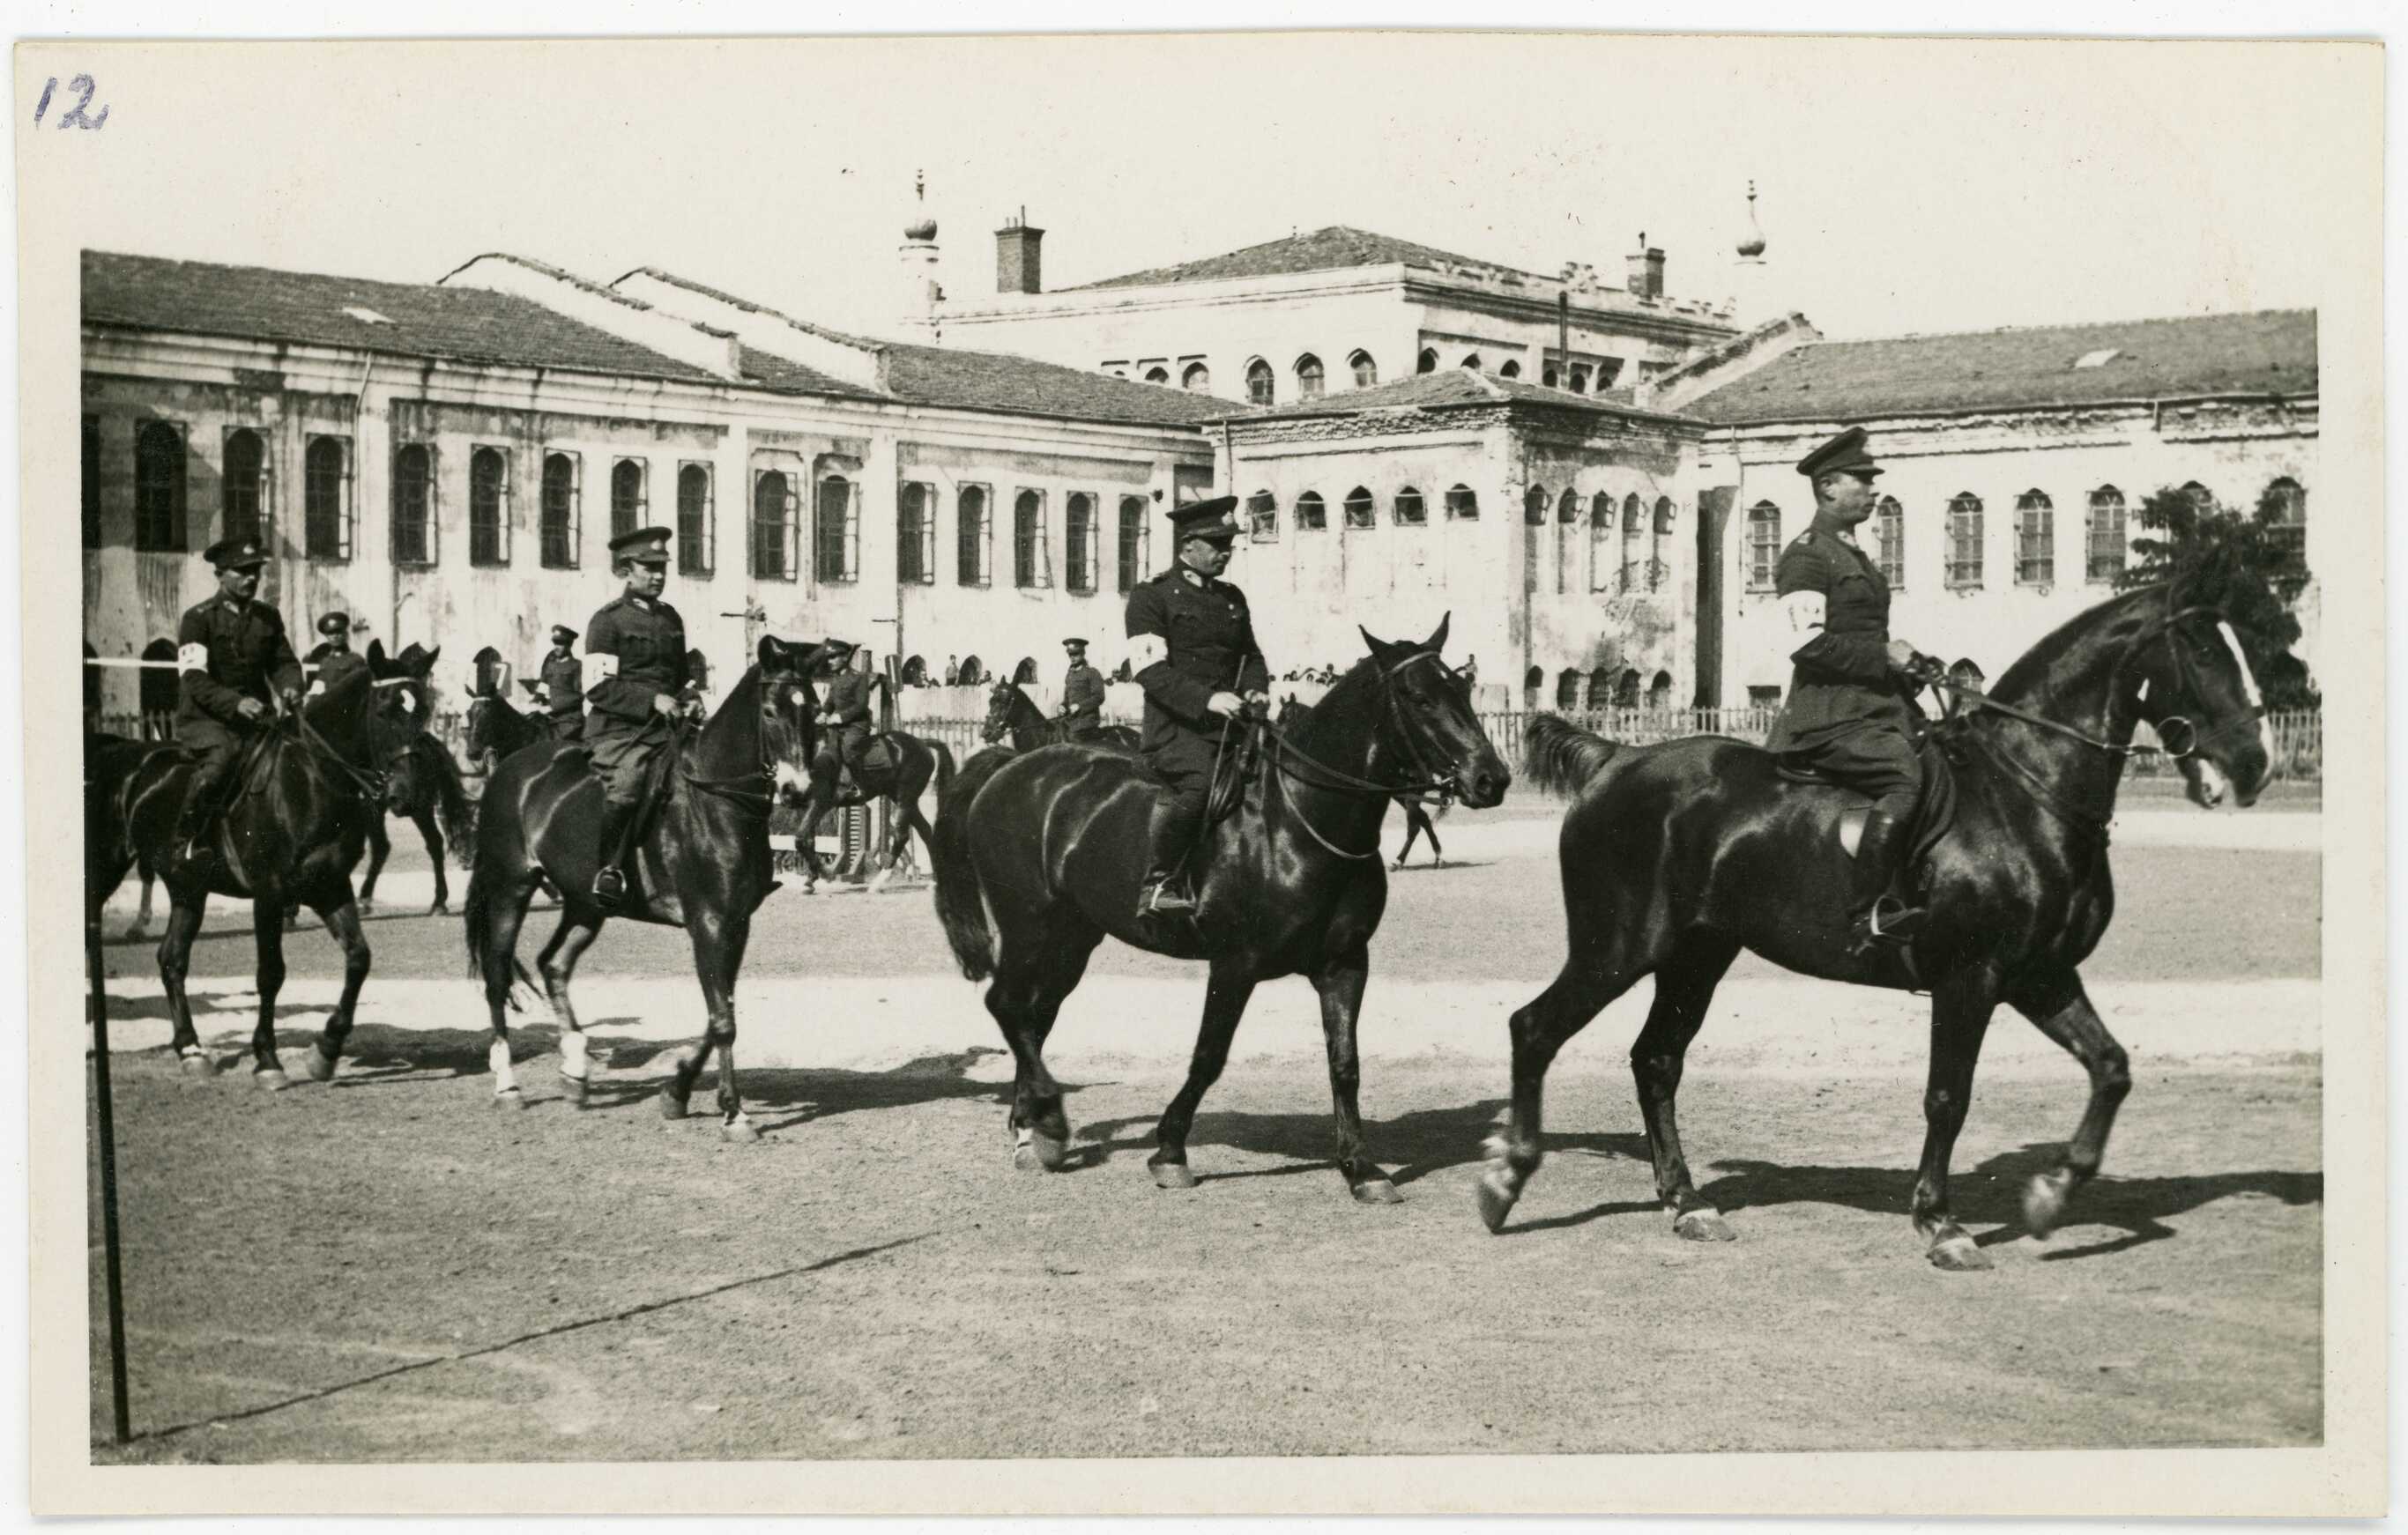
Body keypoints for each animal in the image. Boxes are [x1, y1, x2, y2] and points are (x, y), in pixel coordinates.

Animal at [85, 662, 383, 1086]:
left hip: (187, 889)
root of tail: (114, 749)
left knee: (171, 959)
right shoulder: (269, 895)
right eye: (387, 709)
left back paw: (191, 1050)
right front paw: (268, 1060)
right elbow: (270, 974)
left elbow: (358, 959)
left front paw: (325, 1052)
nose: (402, 789)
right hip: (108, 870)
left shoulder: (331, 888)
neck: (307, 782)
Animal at [462, 636, 827, 1133]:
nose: (797, 791)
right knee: (498, 976)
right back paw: (507, 1085)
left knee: (553, 964)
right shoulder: (707, 922)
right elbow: (723, 1020)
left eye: (814, 710)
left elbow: (720, 1012)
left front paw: (677, 1091)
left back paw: (575, 1072)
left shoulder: (735, 924)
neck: (716, 800)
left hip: (586, 904)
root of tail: (509, 770)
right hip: (510, 888)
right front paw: (734, 1112)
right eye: (770, 711)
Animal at [1475, 582, 2277, 1269]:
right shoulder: (1971, 979)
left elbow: (2110, 1069)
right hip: (1618, 949)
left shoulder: (2042, 976)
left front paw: (2051, 1196)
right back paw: (1505, 1180)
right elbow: (1948, 1098)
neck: (2021, 794)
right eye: (2204, 653)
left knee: (1656, 1061)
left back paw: (1686, 1202)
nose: (2255, 766)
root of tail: (1616, 760)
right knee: (1535, 1028)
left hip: (1697, 956)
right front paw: (1942, 1224)